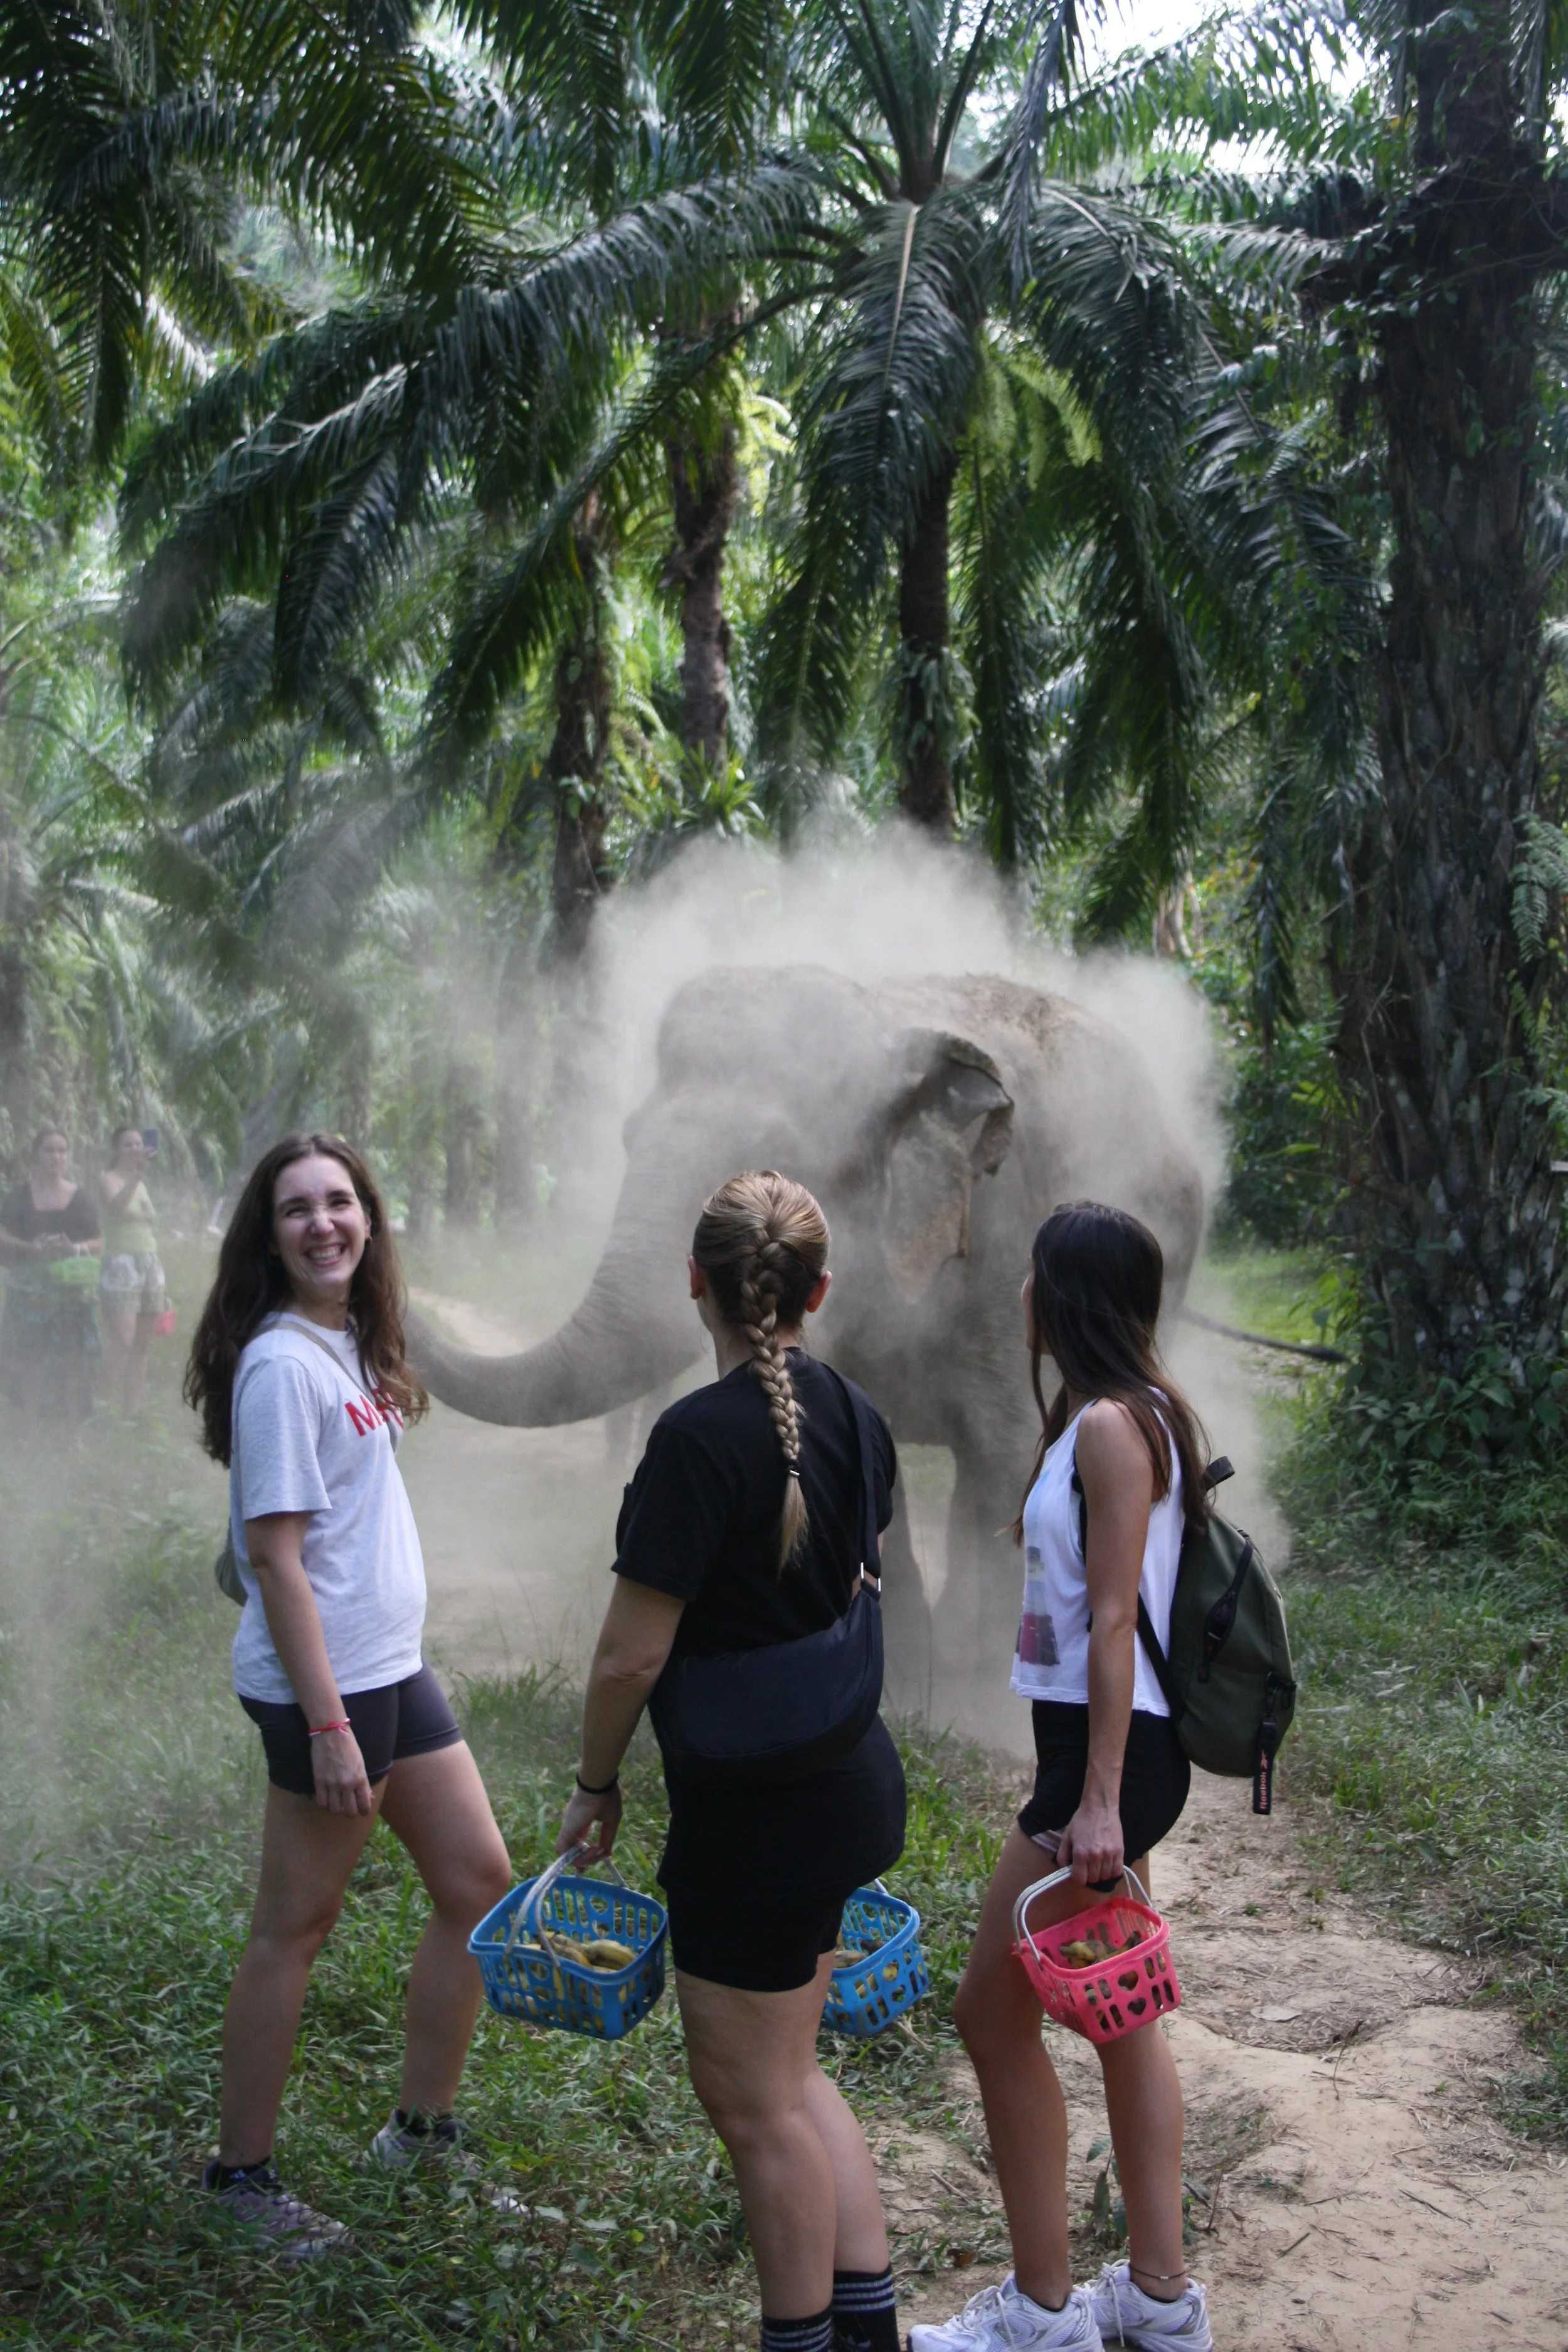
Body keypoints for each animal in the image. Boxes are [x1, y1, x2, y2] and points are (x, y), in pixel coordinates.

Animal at [409, 964, 1205, 1723]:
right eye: (628, 1136)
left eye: (780, 1161)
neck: (889, 1028)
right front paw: (907, 1683)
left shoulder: (1010, 1251)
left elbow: (1013, 1453)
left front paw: (983, 1697)